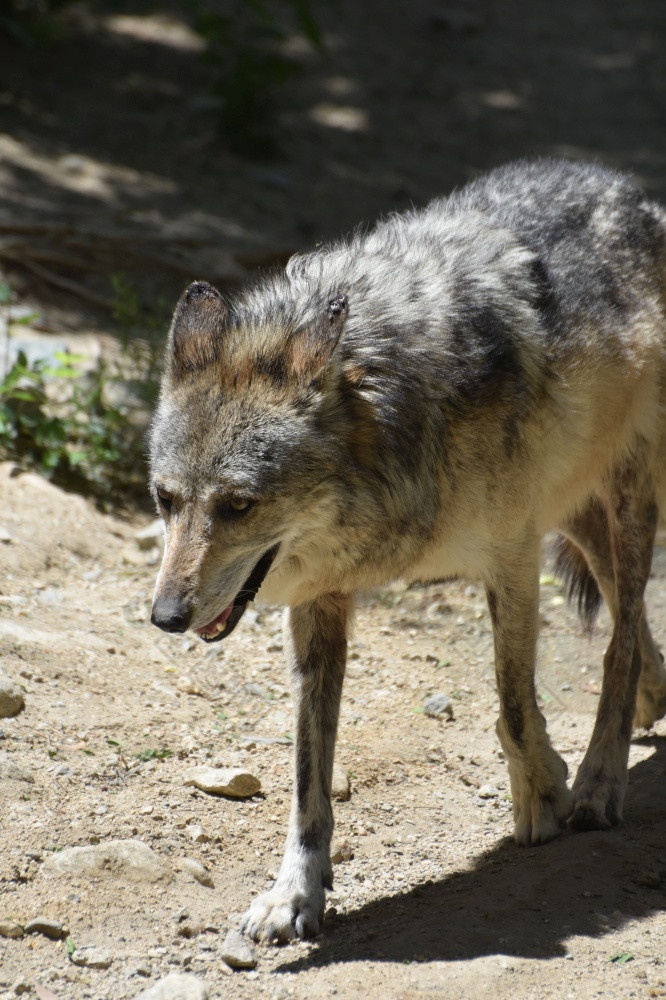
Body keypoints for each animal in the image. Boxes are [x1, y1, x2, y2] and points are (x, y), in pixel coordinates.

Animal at [148, 160, 664, 940]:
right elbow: (306, 774)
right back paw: (654, 702)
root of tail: (632, 190)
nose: (166, 617)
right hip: (576, 515)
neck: (392, 411)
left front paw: (543, 793)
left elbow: (513, 705)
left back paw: (600, 781)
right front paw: (295, 893)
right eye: (165, 500)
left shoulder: (512, 557)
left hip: (626, 496)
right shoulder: (320, 605)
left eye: (238, 505)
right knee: (631, 626)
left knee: (623, 635)